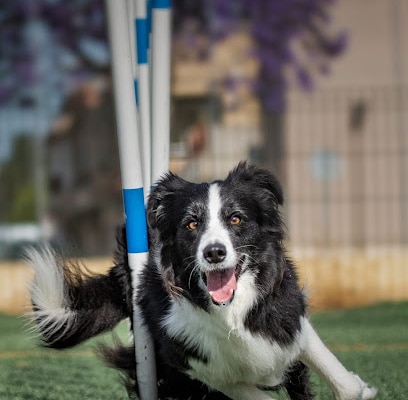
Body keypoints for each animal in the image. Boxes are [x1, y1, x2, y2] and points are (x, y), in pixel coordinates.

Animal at [27, 162, 378, 400]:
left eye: (235, 218)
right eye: (192, 224)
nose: (214, 253)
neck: (230, 312)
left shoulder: (288, 323)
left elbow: (337, 377)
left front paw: (359, 388)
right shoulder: (202, 367)